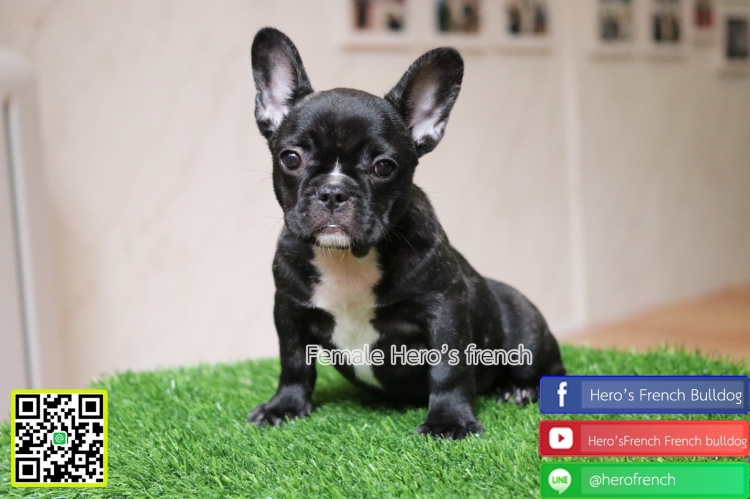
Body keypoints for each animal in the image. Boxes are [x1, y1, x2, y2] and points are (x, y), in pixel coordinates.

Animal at [247, 27, 565, 439]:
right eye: (291, 158)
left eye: (384, 167)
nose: (333, 191)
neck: (347, 258)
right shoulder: (289, 308)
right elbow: (294, 361)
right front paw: (283, 406)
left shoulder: (443, 307)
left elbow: (449, 367)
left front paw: (449, 420)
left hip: (525, 329)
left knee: (548, 369)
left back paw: (520, 390)